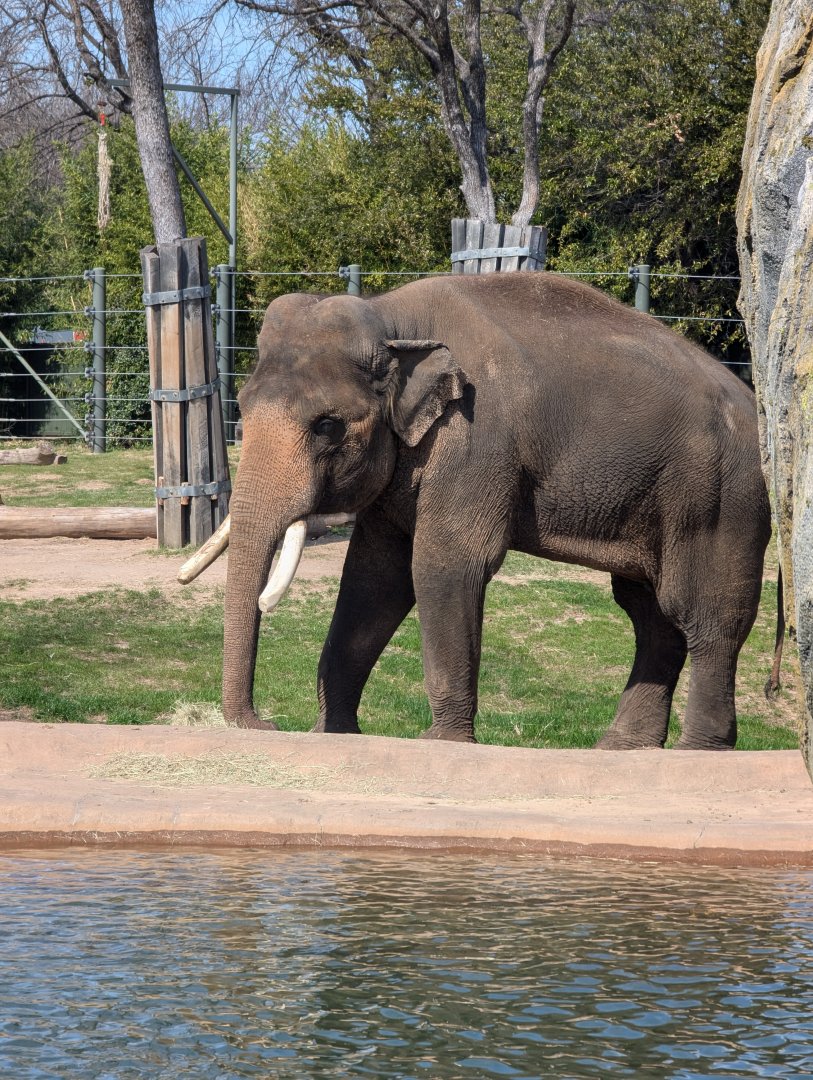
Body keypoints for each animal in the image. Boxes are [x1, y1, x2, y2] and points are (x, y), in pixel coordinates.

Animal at [184, 272, 772, 749]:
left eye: (327, 426)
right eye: (243, 406)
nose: (265, 723)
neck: (392, 318)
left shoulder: (476, 438)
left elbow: (444, 564)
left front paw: (440, 742)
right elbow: (375, 578)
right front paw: (334, 734)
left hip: (724, 500)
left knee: (704, 615)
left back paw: (697, 752)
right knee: (651, 615)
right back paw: (624, 751)